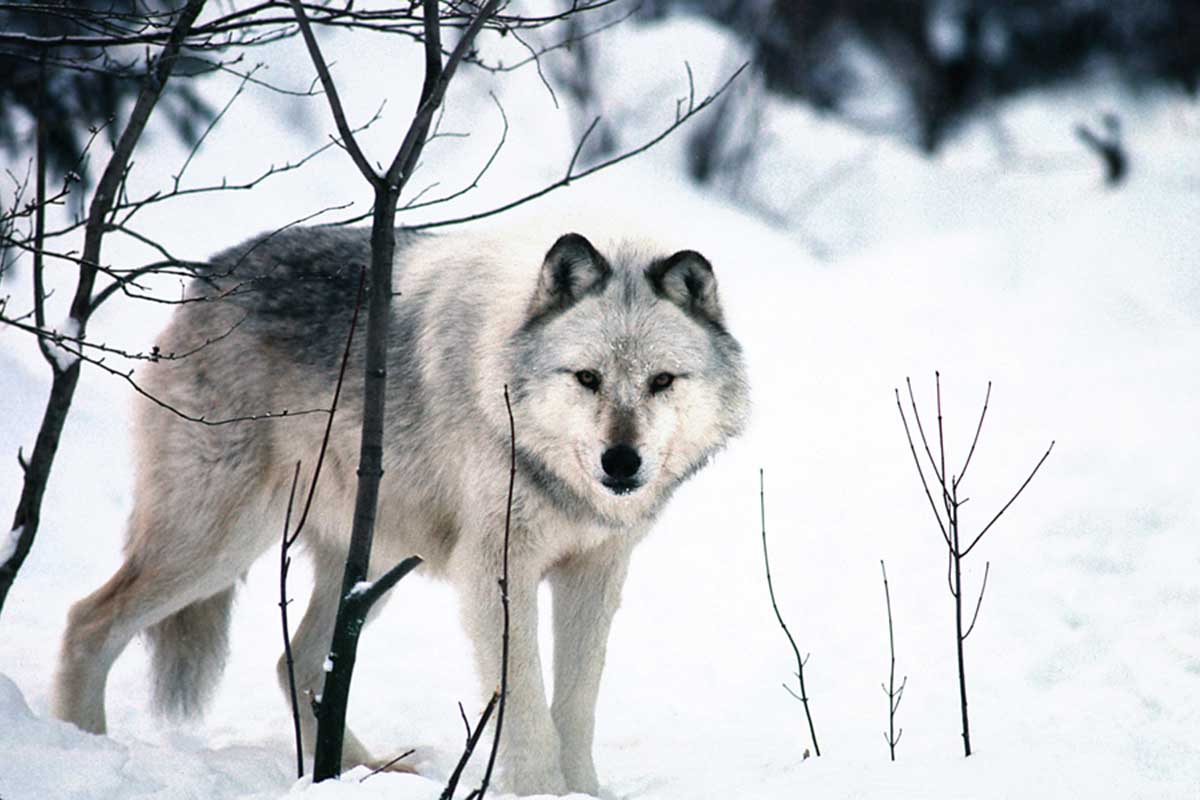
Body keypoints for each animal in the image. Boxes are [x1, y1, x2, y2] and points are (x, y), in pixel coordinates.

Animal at [53, 222, 749, 795]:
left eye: (661, 382)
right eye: (587, 379)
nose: (621, 462)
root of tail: (209, 275)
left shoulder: (595, 572)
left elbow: (576, 704)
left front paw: (582, 792)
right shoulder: (495, 572)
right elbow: (526, 704)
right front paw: (543, 793)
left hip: (370, 566)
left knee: (297, 663)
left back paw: (364, 772)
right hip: (217, 547)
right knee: (89, 621)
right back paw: (83, 746)